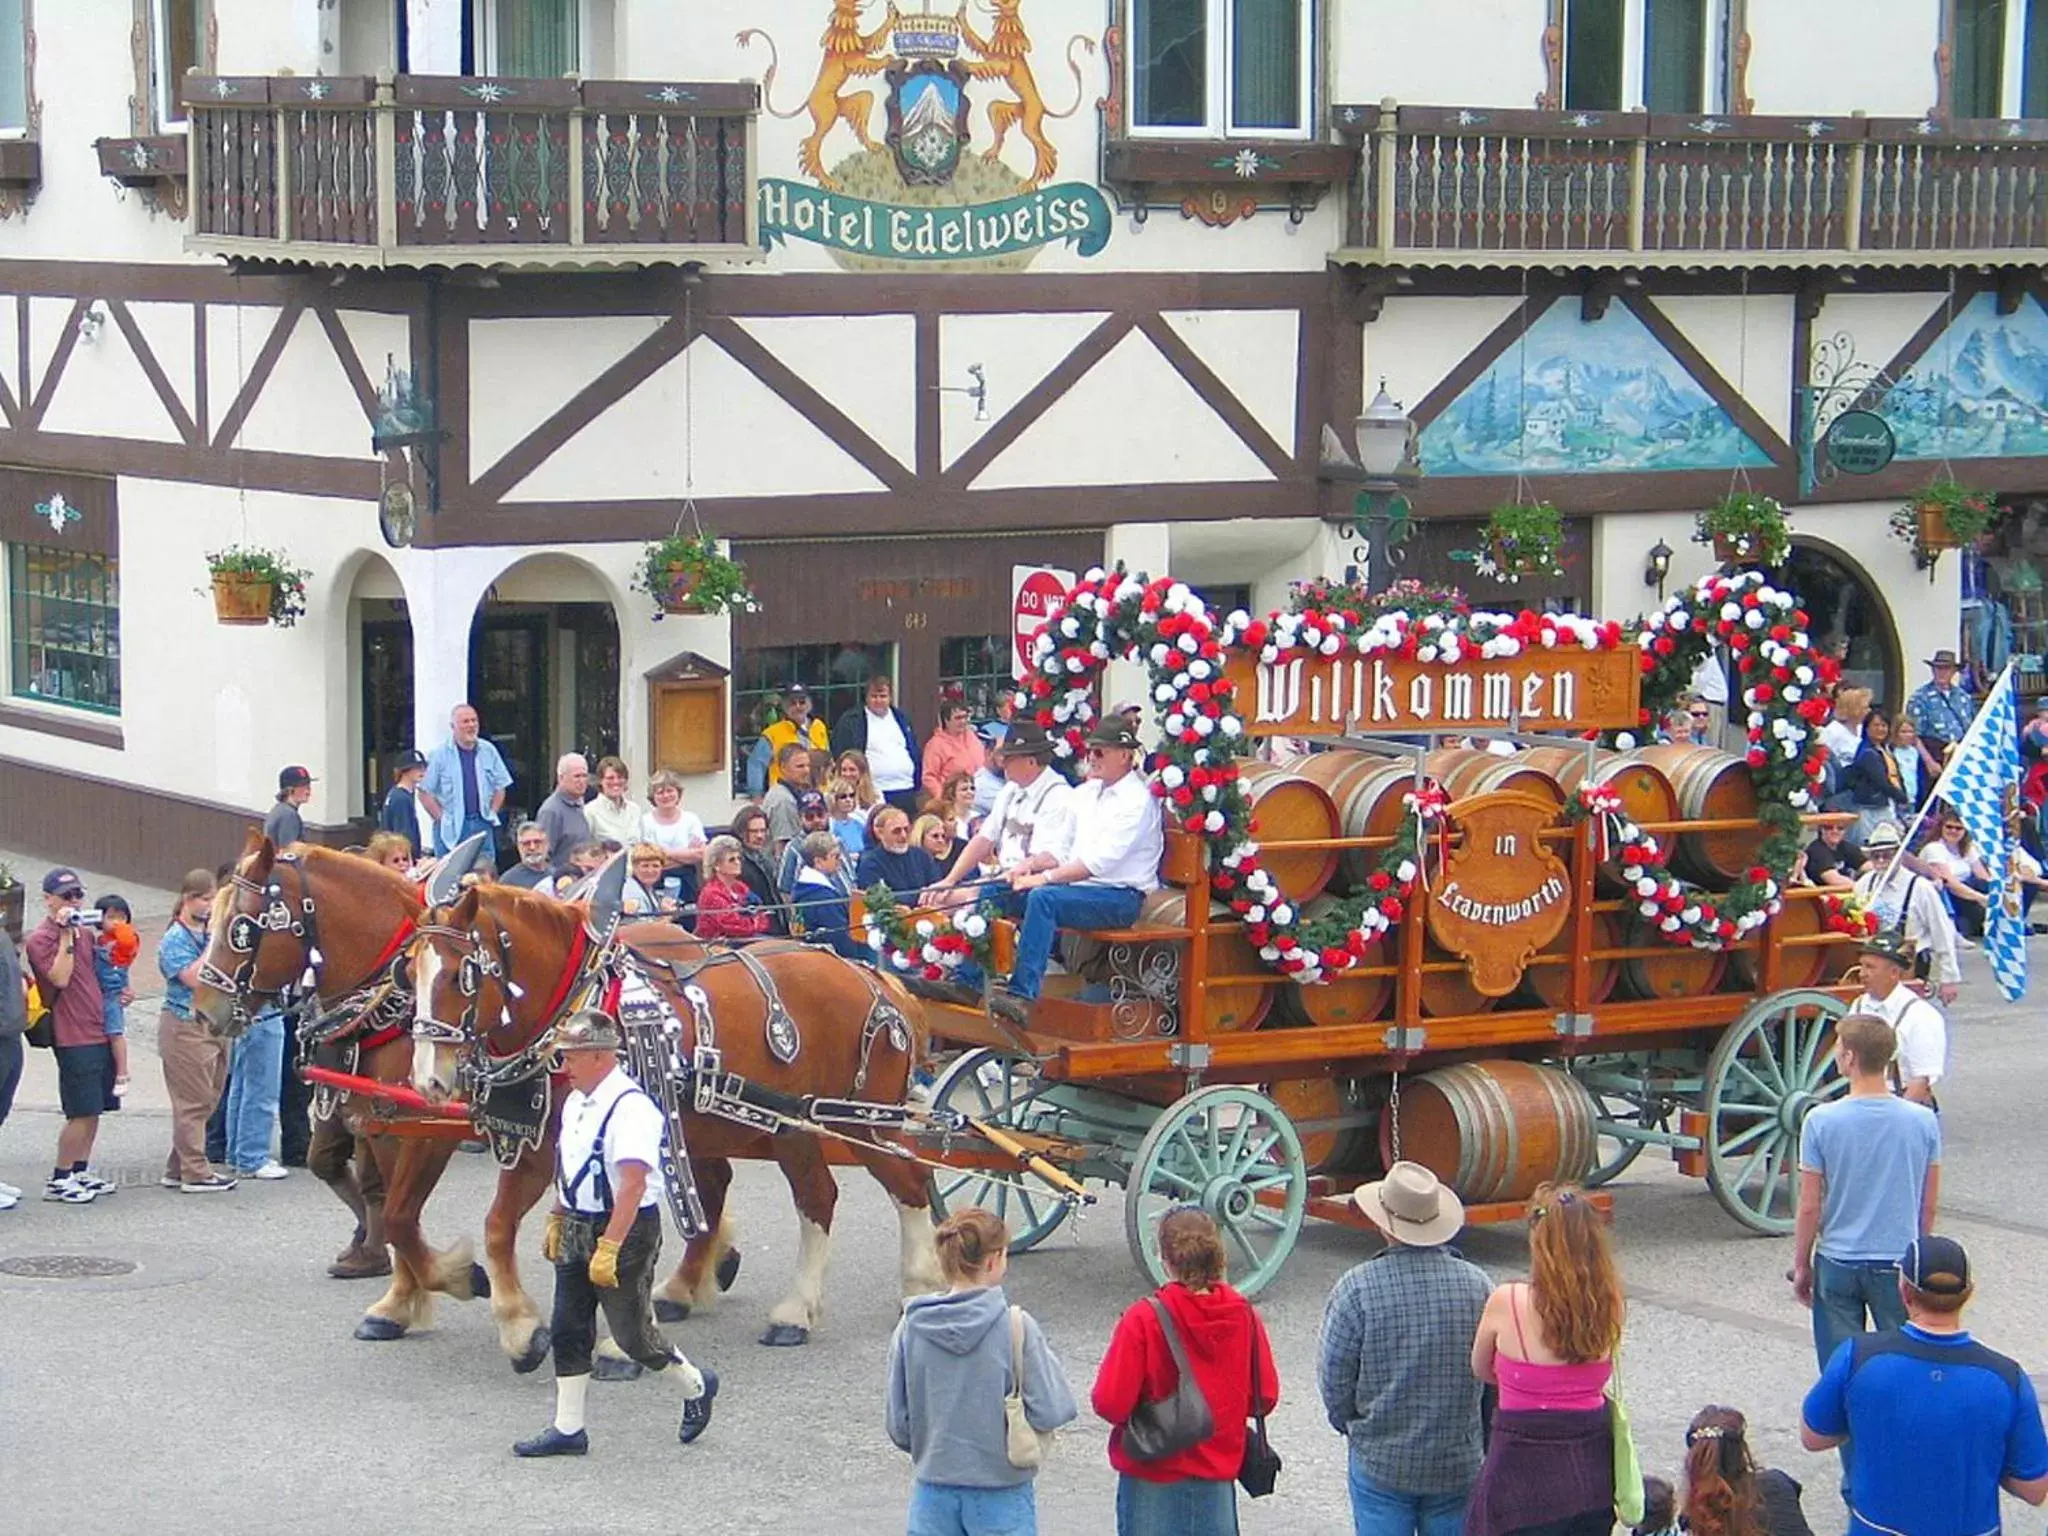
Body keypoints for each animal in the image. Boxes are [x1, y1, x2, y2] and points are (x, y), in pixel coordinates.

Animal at [190, 847, 512, 1368]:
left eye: (241, 926)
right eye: (209, 917)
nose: (201, 1009)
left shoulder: (427, 1129)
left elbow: (400, 1214)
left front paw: (454, 1276)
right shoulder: (380, 1126)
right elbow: (397, 1214)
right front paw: (398, 1303)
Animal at [409, 884, 950, 1351]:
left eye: (460, 975)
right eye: (408, 972)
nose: (428, 1080)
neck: (574, 1017)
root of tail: (873, 977)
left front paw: (616, 1342)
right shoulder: (541, 1148)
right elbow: (498, 1227)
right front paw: (520, 1328)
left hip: (857, 1122)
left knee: (903, 1183)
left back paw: (909, 1288)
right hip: (788, 1125)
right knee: (816, 1195)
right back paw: (783, 1307)